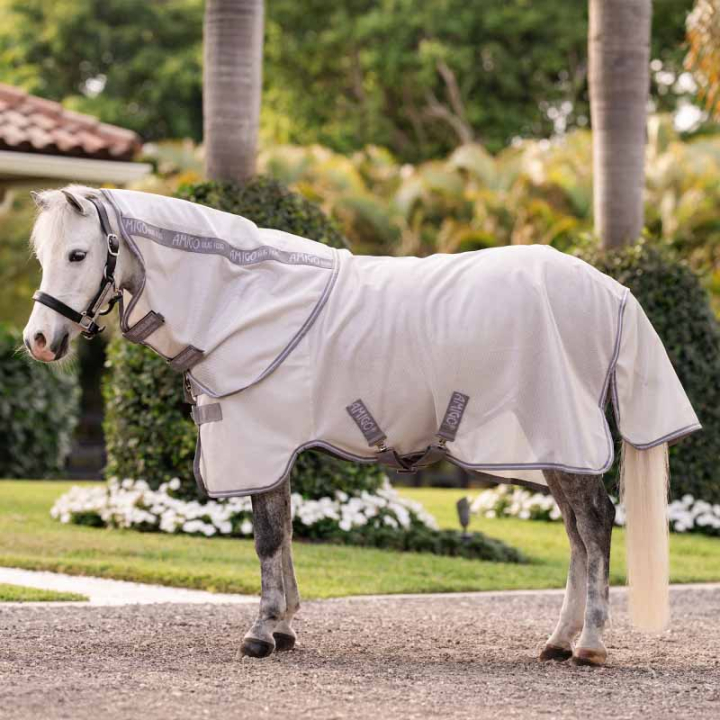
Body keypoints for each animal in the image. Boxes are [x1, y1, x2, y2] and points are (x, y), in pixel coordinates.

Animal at [23, 185, 700, 666]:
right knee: (578, 535)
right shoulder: (275, 448)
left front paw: (262, 632)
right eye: (41, 255)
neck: (243, 298)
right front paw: (285, 626)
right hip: (553, 448)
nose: (39, 340)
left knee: (595, 525)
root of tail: (609, 288)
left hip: (563, 437)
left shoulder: (260, 441)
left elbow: (267, 538)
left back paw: (590, 645)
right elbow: (283, 533)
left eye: (79, 254)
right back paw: (559, 641)